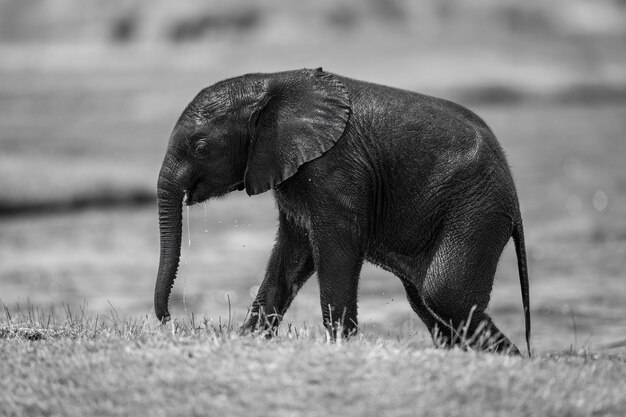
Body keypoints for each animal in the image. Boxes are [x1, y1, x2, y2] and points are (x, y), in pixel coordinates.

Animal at [154, 67, 528, 354]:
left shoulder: (334, 169)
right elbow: (292, 254)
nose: (171, 320)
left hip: (476, 208)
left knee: (444, 294)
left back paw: (513, 359)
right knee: (424, 299)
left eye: (201, 148)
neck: (272, 83)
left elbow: (337, 247)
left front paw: (340, 346)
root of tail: (514, 194)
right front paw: (249, 339)